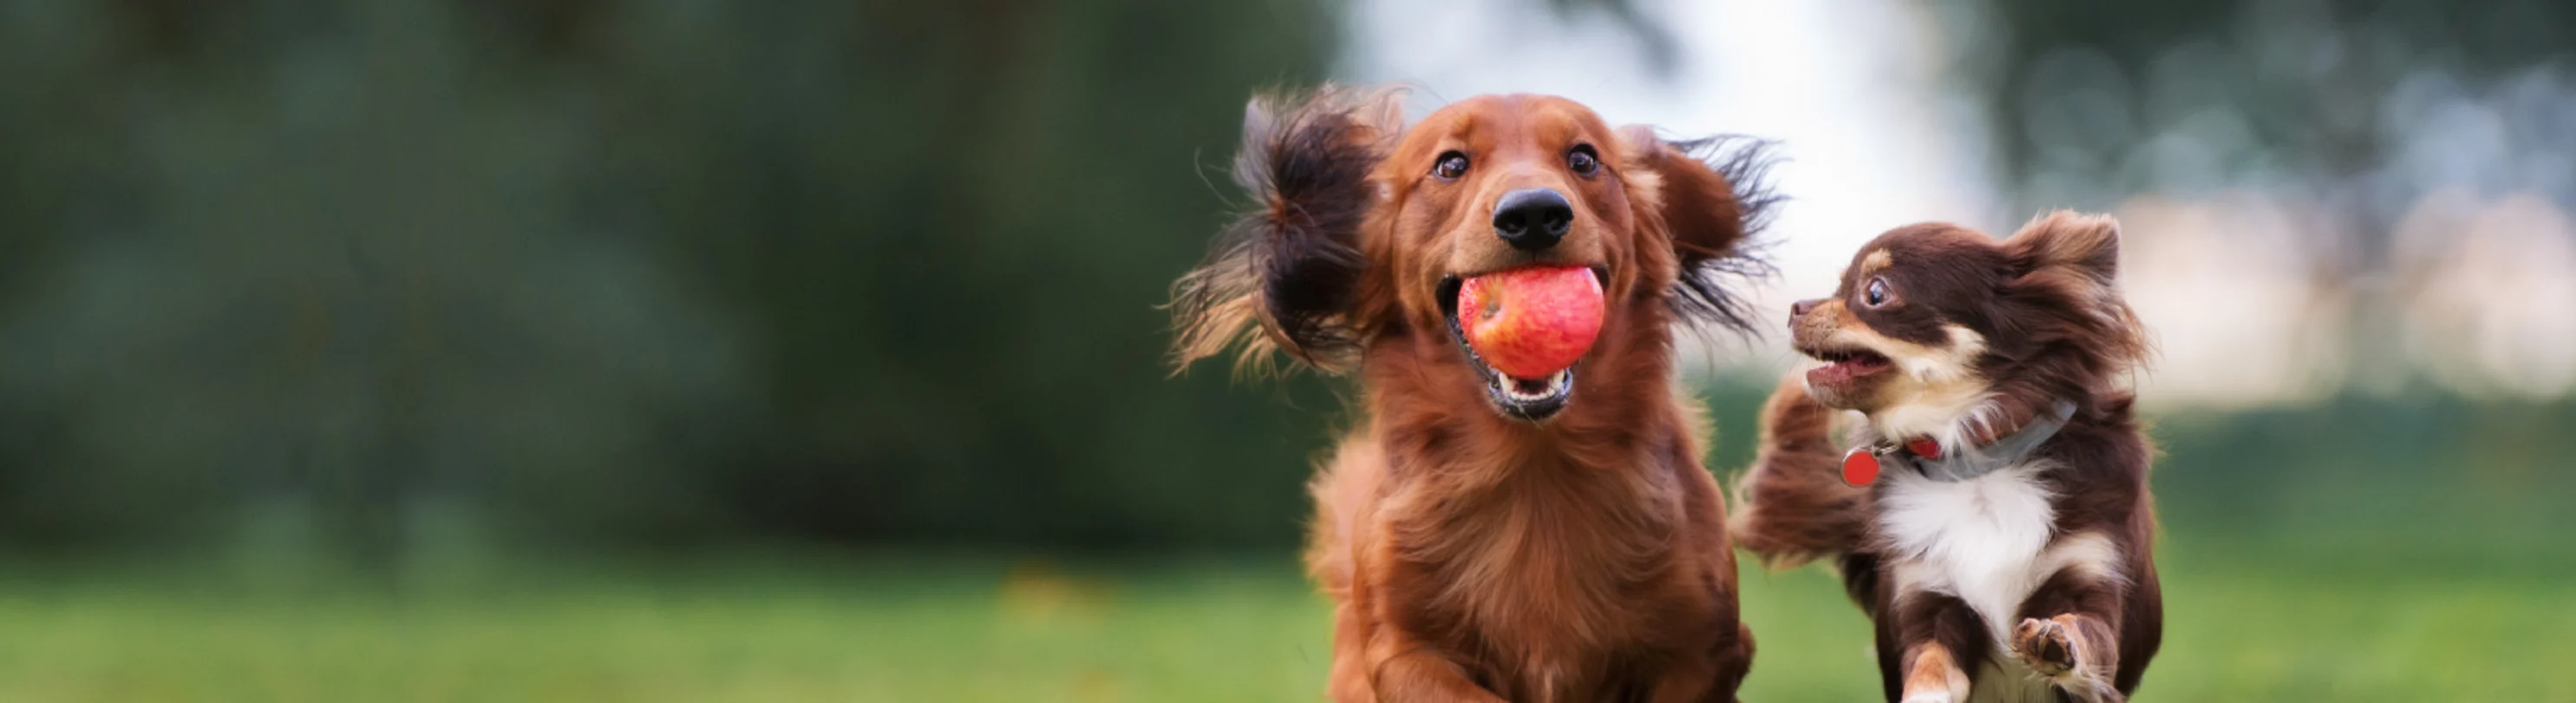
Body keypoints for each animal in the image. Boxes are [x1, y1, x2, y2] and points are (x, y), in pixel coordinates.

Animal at [1180, 87, 1782, 700]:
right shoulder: (1401, 650)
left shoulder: (1706, 647)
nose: (1534, 214)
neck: (1534, 468)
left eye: (1584, 158)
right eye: (1451, 164)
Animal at [1741, 214, 2163, 700]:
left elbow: (2084, 631)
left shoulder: (2090, 581)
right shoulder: (1930, 603)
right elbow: (1928, 668)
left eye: (1875, 293)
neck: (1974, 466)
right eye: (1839, 285)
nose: (1796, 307)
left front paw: (2054, 642)